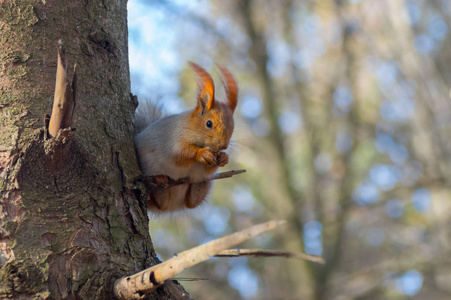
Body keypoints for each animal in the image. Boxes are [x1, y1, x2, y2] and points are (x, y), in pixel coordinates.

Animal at [134, 62, 240, 212]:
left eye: (233, 126)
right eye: (209, 123)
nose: (222, 146)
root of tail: (174, 206)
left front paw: (225, 157)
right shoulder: (172, 139)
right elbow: (178, 154)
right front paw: (202, 153)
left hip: (193, 193)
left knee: (192, 202)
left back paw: (201, 184)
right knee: (160, 202)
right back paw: (160, 179)